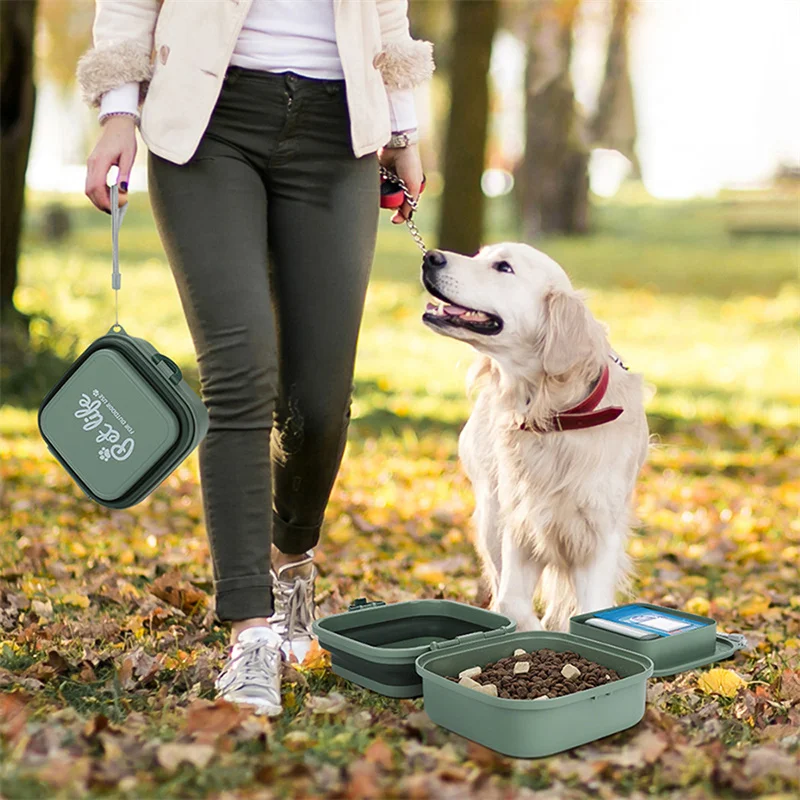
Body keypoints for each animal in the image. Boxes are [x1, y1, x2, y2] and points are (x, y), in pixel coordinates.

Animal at [418, 244, 648, 632]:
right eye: (479, 255)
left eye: (503, 267)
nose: (430, 257)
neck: (555, 416)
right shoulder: (520, 526)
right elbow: (511, 604)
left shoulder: (597, 537)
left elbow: (588, 610)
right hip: (491, 516)